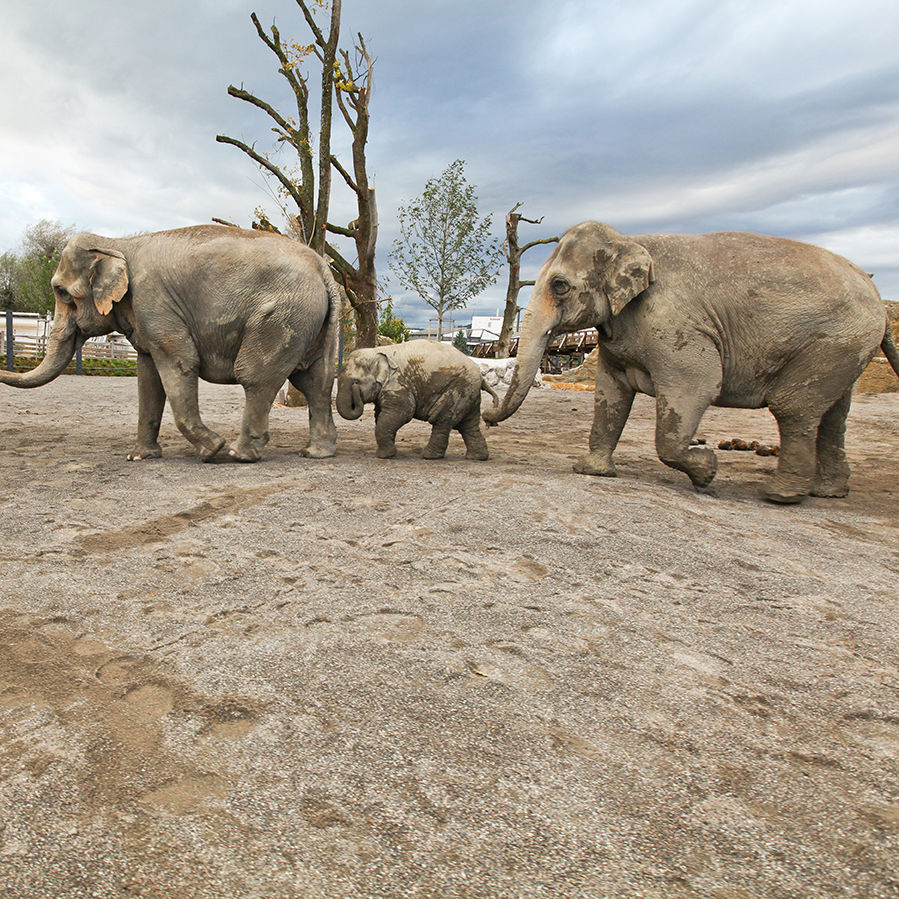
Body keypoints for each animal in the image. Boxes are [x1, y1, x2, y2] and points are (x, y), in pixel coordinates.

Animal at [0, 225, 338, 464]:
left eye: (62, 292)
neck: (117, 243)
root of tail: (322, 267)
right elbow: (148, 378)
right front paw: (139, 457)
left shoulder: (154, 303)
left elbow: (180, 363)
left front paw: (212, 450)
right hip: (310, 322)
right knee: (315, 382)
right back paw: (316, 453)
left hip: (282, 316)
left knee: (255, 376)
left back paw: (239, 455)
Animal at [336, 342, 500, 460]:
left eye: (355, 382)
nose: (356, 392)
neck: (378, 352)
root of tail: (481, 376)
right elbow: (381, 416)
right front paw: (391, 453)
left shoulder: (398, 385)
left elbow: (402, 413)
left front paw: (385, 456)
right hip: (469, 394)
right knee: (469, 425)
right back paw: (477, 458)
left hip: (458, 389)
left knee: (441, 419)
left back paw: (429, 456)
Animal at [486, 221, 899, 502]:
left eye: (559, 286)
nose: (489, 415)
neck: (629, 240)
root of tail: (876, 293)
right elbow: (610, 393)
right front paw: (591, 471)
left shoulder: (676, 325)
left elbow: (696, 387)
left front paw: (706, 473)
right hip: (843, 347)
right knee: (832, 415)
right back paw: (827, 492)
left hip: (833, 342)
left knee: (794, 408)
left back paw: (780, 495)